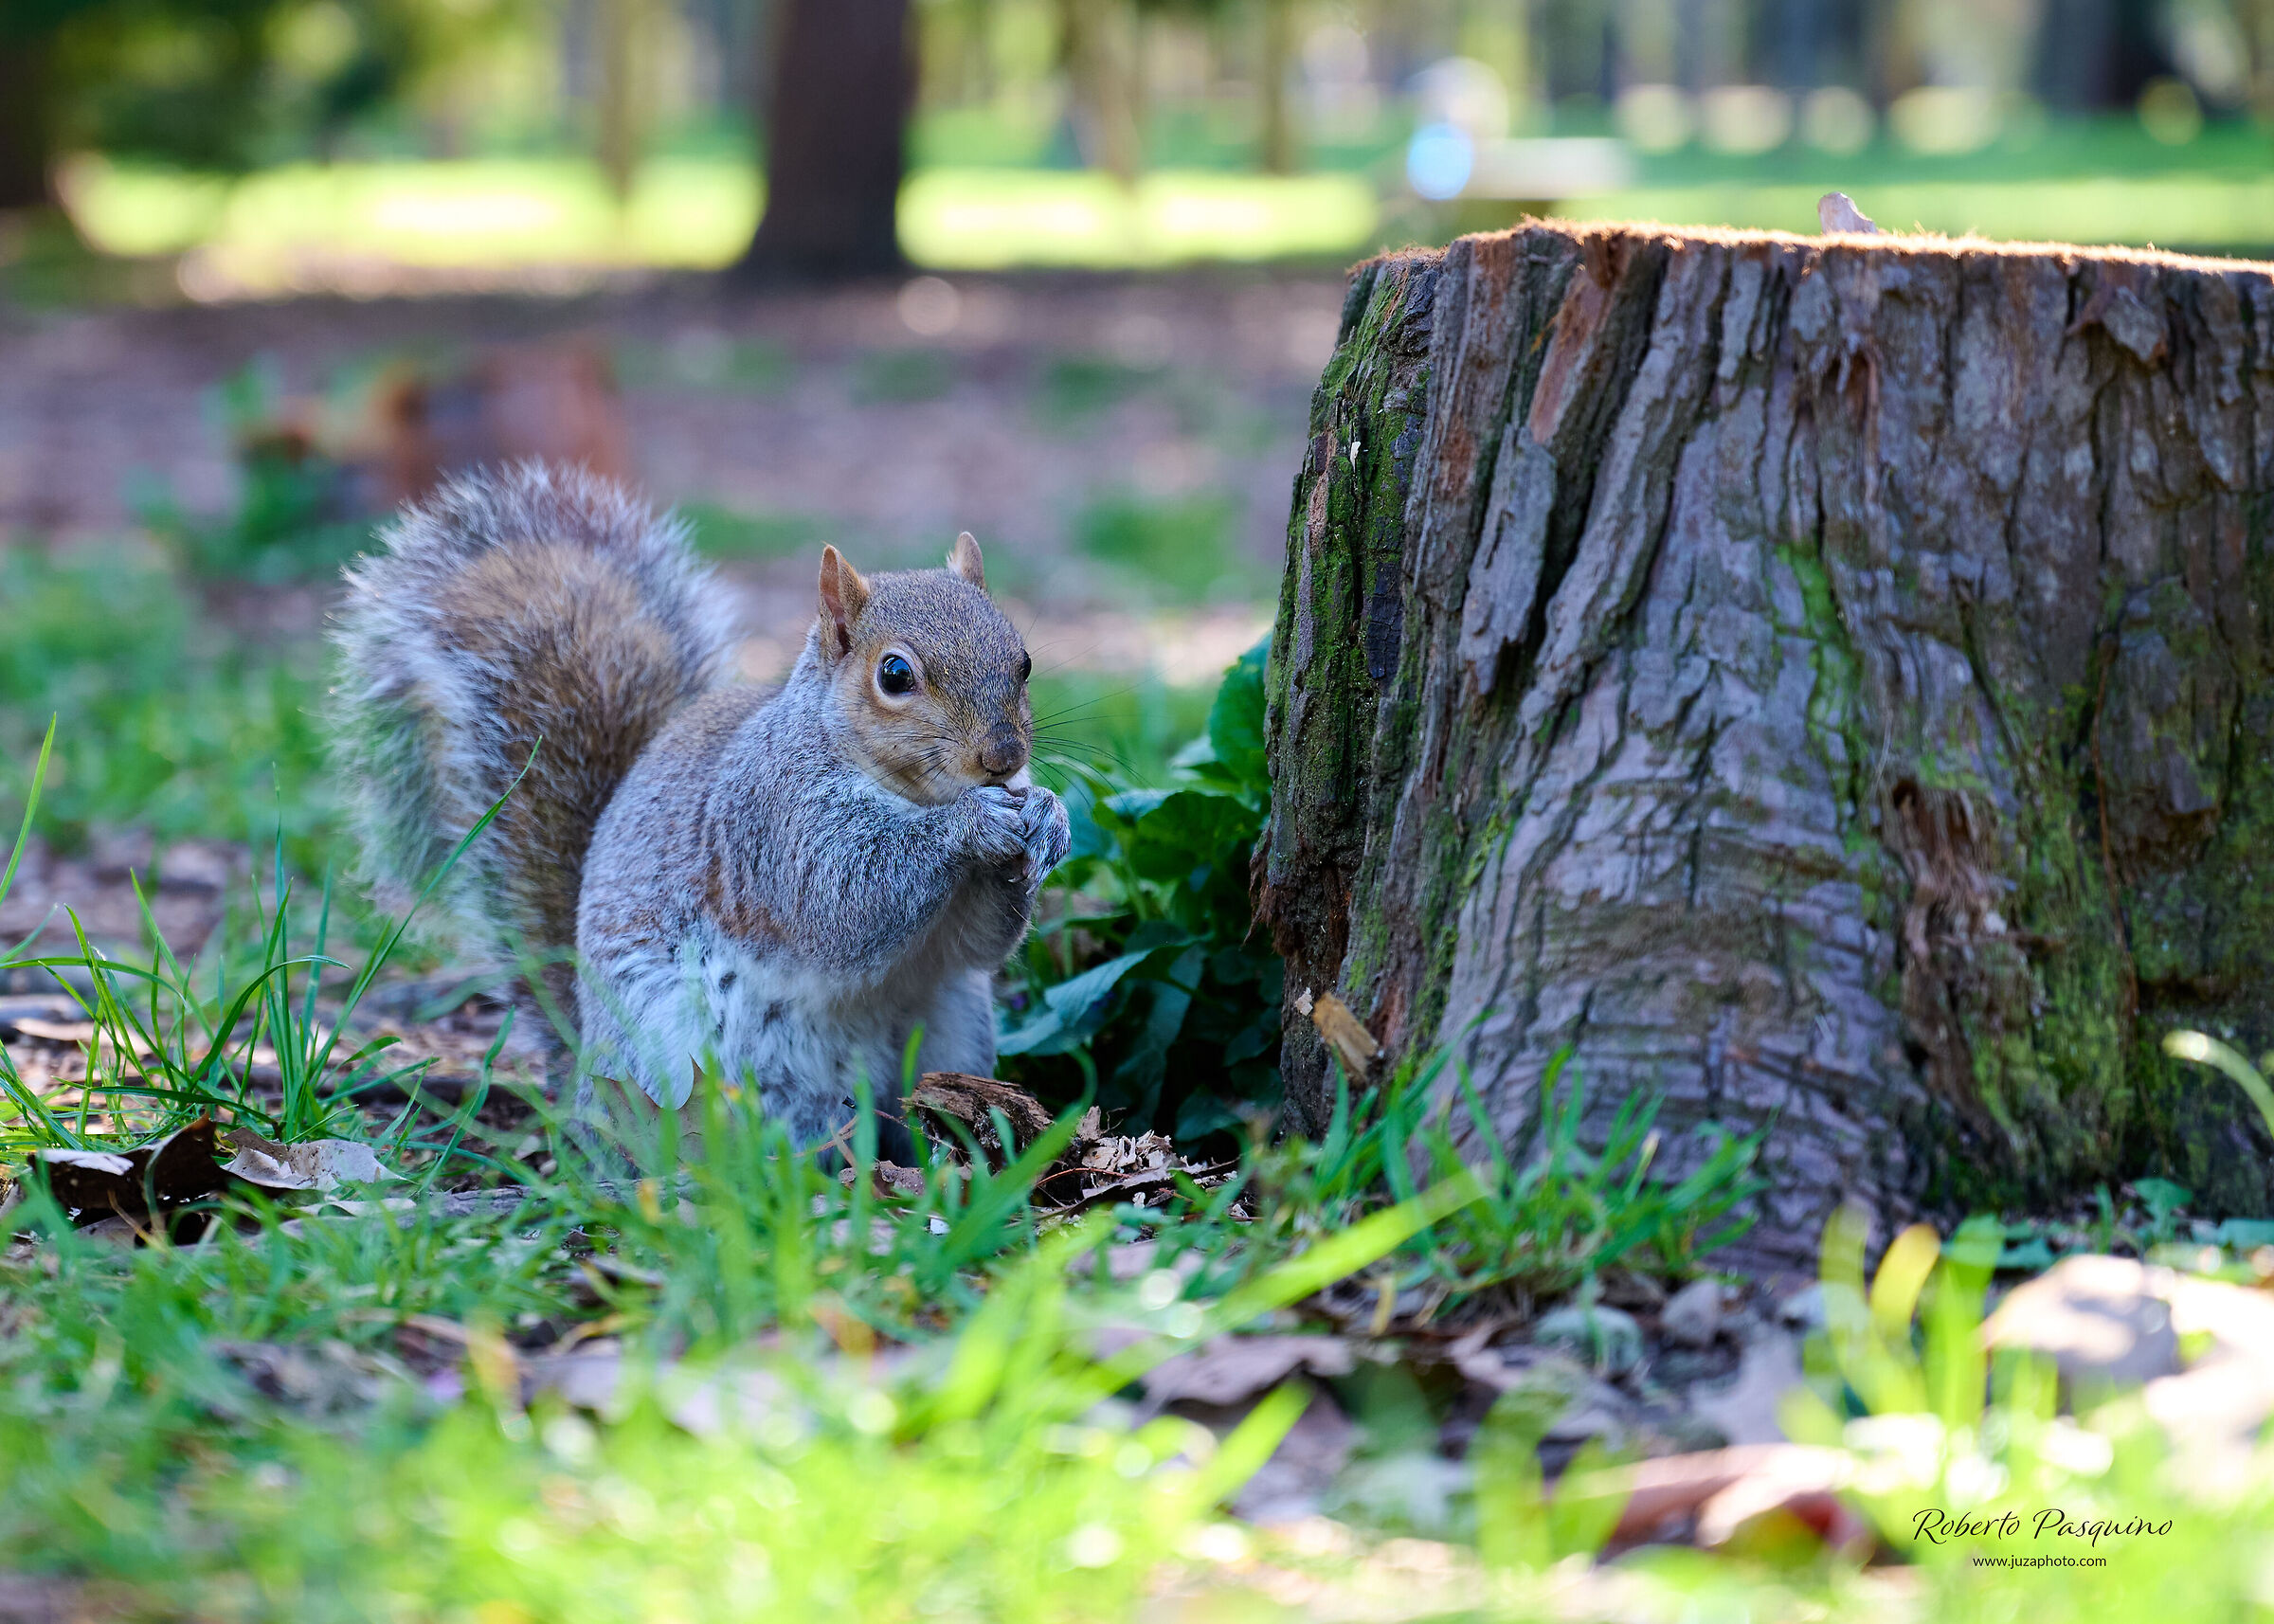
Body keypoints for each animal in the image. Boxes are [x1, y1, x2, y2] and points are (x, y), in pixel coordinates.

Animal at [329, 462, 1071, 1153]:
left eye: (1025, 661)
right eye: (894, 674)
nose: (1003, 756)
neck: (910, 792)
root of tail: (582, 1076)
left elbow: (972, 943)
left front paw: (1047, 818)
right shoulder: (770, 819)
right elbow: (845, 896)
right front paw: (972, 826)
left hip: (952, 1025)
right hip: (686, 1062)